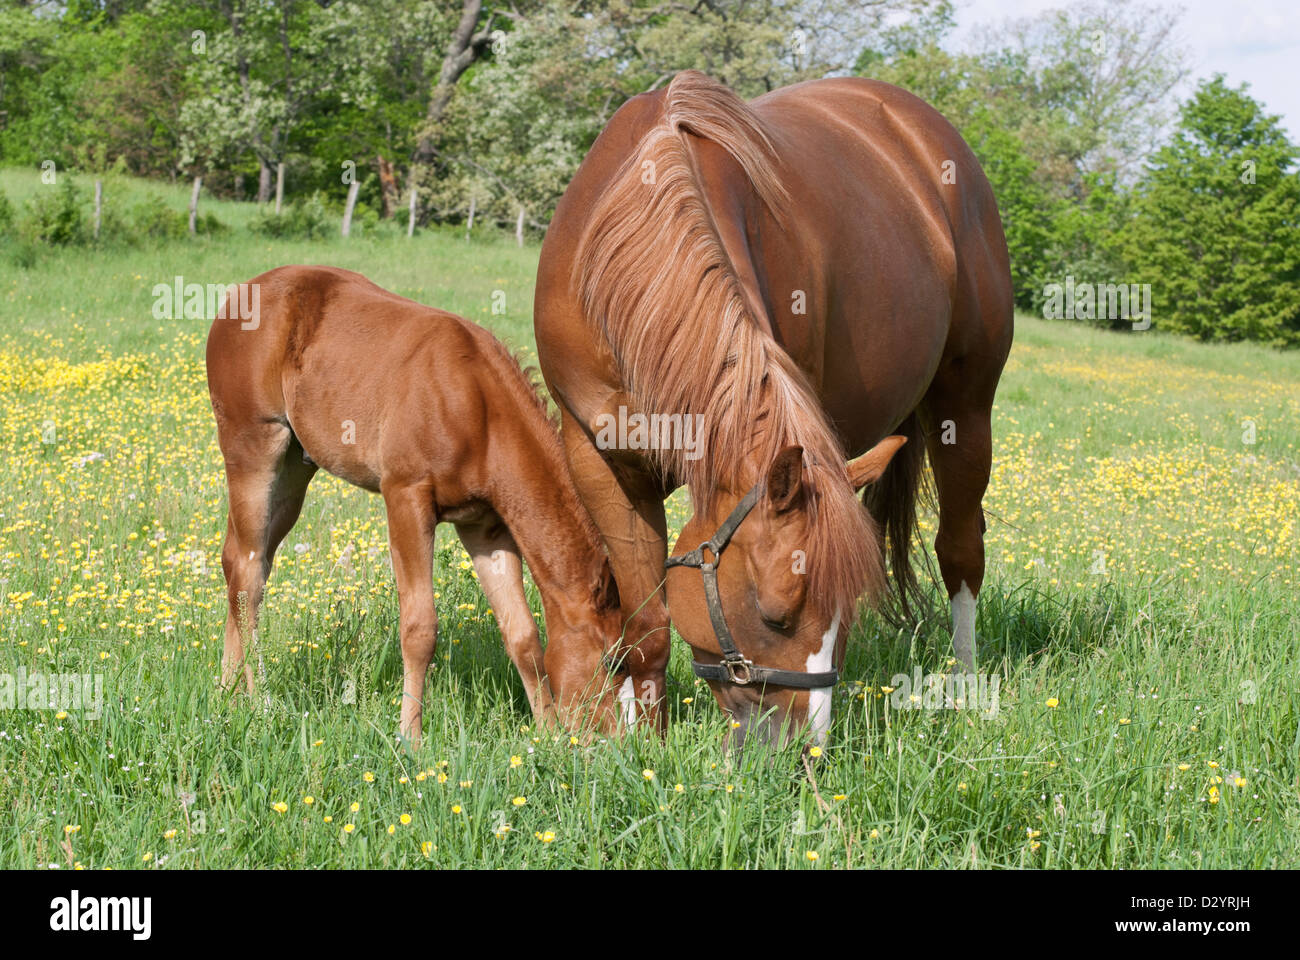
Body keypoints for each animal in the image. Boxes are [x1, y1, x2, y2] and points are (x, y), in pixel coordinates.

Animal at [205, 265, 621, 744]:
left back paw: (226, 692)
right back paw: (259, 699)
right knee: (249, 573)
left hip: (294, 469)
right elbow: (420, 628)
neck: (477, 406)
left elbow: (523, 634)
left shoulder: (485, 526)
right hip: (253, 449)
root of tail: (237, 298)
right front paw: (411, 737)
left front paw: (546, 734)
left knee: (239, 561)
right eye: (611, 659)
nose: (612, 739)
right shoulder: (405, 498)